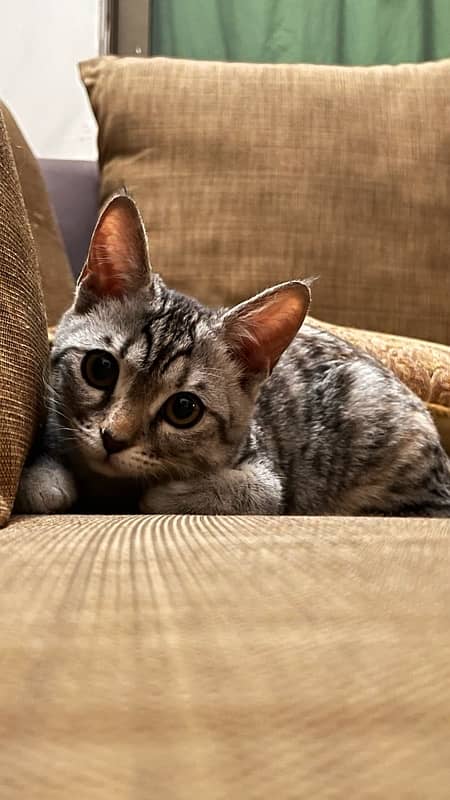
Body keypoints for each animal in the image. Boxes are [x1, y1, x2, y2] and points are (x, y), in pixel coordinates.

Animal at [15, 195, 450, 520]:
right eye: (101, 368)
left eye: (184, 409)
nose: (113, 438)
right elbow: (48, 481)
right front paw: (43, 480)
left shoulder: (266, 479)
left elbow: (224, 492)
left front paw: (158, 492)